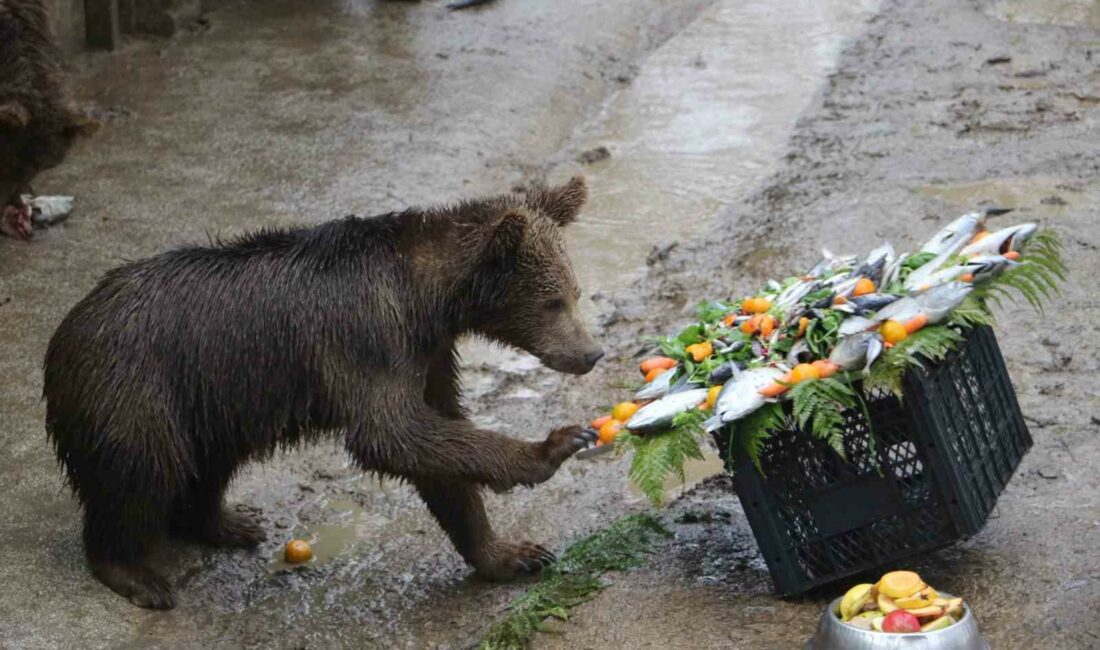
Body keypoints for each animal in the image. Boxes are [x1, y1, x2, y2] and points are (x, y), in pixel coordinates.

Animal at [42, 175, 607, 607]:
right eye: (554, 301)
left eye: (575, 293)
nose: (591, 353)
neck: (426, 298)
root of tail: (65, 331)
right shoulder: (366, 339)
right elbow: (393, 434)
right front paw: (555, 446)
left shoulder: (427, 355)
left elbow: (439, 448)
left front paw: (512, 553)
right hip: (135, 387)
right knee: (143, 468)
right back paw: (135, 573)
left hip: (214, 397)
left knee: (210, 461)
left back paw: (231, 521)